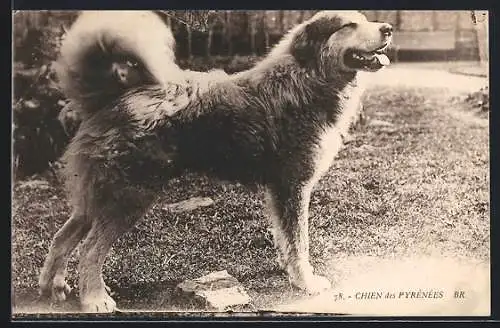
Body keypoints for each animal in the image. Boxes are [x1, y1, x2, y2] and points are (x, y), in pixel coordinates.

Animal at [39, 10, 392, 312]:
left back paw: (53, 287)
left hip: (99, 197)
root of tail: (113, 97)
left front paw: (289, 271)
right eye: (348, 25)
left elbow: (285, 239)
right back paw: (94, 298)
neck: (306, 77)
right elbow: (299, 243)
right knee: (90, 250)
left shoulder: (281, 193)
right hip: (129, 198)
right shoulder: (293, 187)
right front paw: (306, 283)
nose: (388, 28)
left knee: (63, 237)